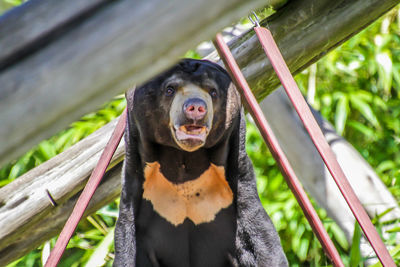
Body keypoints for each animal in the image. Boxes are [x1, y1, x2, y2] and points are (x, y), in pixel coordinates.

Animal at [114, 59, 290, 267]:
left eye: (212, 91)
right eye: (170, 89)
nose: (196, 107)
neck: (185, 161)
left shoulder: (237, 182)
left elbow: (261, 238)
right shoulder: (136, 184)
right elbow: (127, 242)